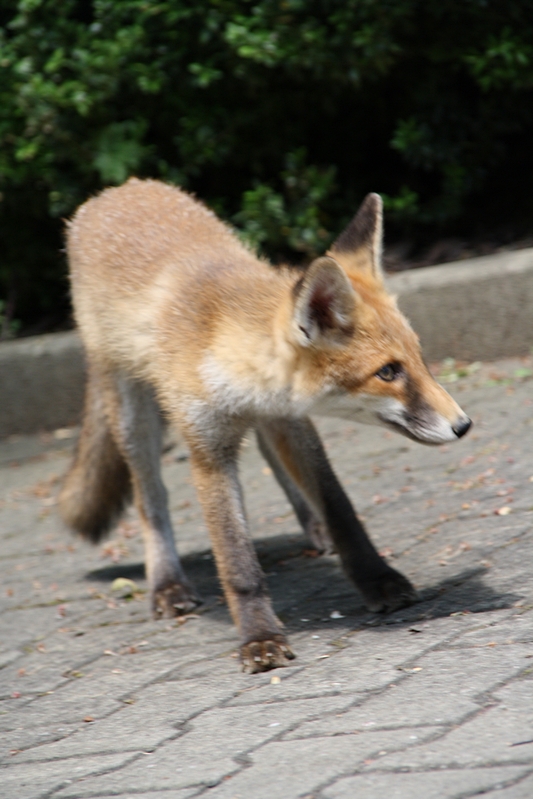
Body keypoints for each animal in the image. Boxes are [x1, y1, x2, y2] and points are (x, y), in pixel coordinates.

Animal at [60, 178, 472, 672]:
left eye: (419, 359)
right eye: (388, 372)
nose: (463, 425)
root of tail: (118, 189)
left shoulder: (290, 419)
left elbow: (341, 511)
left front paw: (377, 579)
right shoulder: (208, 450)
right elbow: (237, 563)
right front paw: (259, 637)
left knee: (269, 456)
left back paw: (311, 528)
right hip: (132, 414)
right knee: (149, 499)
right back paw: (167, 582)